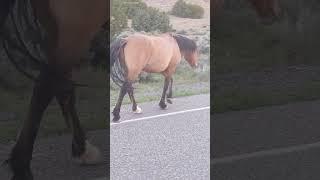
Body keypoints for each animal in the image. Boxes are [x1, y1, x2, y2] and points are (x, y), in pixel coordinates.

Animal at [0, 0, 108, 179]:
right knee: (47, 84)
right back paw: (22, 167)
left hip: (55, 28)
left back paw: (82, 150)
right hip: (78, 24)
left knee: (60, 85)